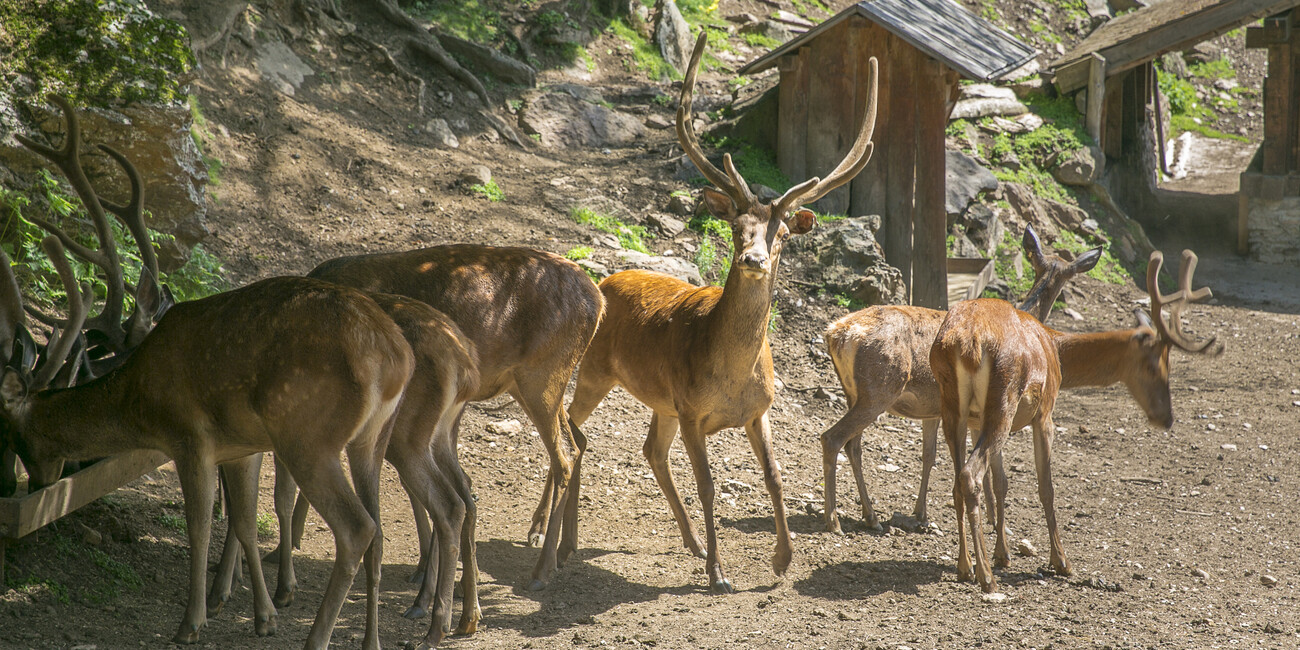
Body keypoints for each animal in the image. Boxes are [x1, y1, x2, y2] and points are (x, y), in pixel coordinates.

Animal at [566, 32, 878, 595]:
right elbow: (709, 485)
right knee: (571, 425)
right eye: (736, 228)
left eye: (781, 234)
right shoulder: (692, 410)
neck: (730, 375)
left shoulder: (759, 409)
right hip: (598, 370)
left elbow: (775, 477)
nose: (753, 259)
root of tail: (604, 282)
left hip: (660, 401)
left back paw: (688, 542)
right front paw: (719, 574)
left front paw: (782, 560)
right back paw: (558, 536)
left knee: (650, 449)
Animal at [821, 228, 1097, 533]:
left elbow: (929, 456)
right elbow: (986, 471)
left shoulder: (932, 412)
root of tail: (836, 333)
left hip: (853, 392)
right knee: (832, 438)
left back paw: (871, 516)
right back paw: (834, 520)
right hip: (880, 388)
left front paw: (921, 513)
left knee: (853, 445)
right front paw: (993, 521)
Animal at [930, 249, 1222, 595]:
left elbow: (1001, 483)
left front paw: (1004, 554)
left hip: (953, 408)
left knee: (957, 480)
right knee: (970, 474)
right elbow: (1046, 487)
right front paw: (1061, 561)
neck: (1055, 347)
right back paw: (985, 576)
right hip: (1003, 400)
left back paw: (965, 566)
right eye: (1156, 365)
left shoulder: (979, 420)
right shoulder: (1045, 413)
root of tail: (967, 344)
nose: (1167, 418)